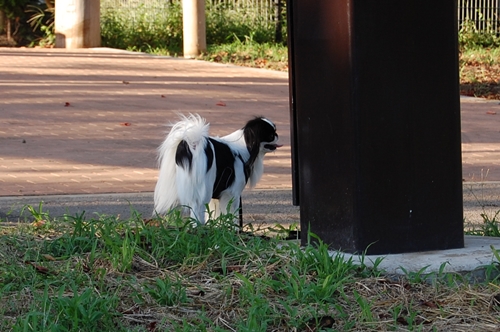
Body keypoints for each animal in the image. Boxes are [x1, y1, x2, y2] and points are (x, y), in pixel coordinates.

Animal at [152, 114, 282, 223]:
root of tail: (192, 144)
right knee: (198, 211)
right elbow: (232, 218)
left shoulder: (217, 197)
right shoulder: (232, 194)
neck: (246, 147)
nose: (277, 135)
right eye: (271, 135)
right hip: (204, 192)